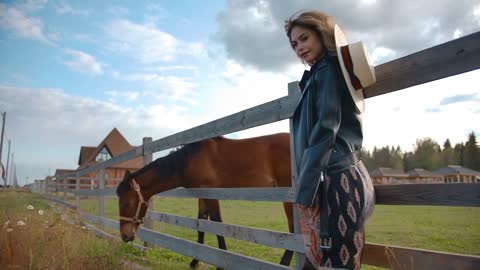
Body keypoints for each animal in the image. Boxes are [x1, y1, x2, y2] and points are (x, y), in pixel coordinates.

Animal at [118, 132, 294, 268]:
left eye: (127, 203)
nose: (124, 236)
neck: (189, 160)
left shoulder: (210, 194)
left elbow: (217, 223)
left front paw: (221, 264)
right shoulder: (201, 194)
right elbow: (201, 223)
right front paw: (195, 261)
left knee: (294, 231)